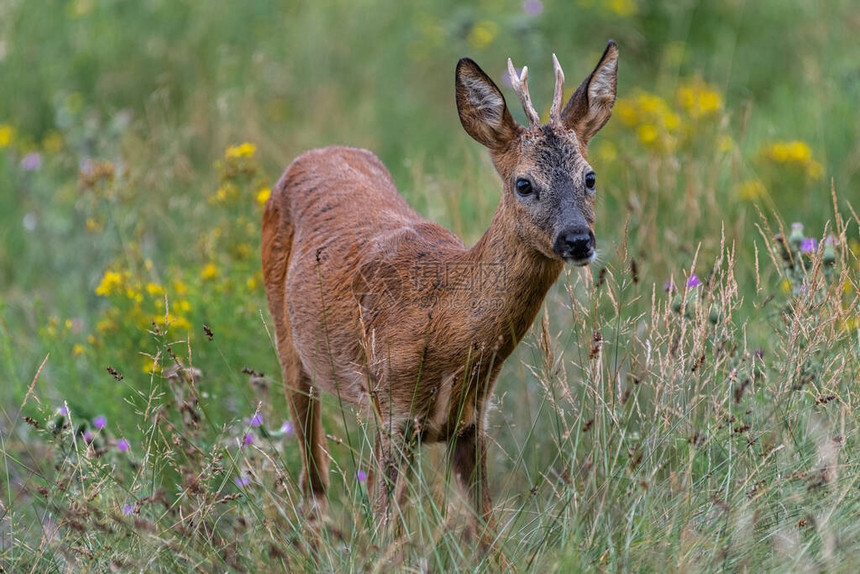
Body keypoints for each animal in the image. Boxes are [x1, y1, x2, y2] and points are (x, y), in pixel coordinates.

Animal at [262, 41, 620, 552]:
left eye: (589, 177)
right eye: (524, 183)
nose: (577, 239)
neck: (444, 318)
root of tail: (317, 151)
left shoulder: (471, 421)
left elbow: (487, 534)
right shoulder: (391, 413)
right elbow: (388, 536)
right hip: (289, 345)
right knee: (313, 474)